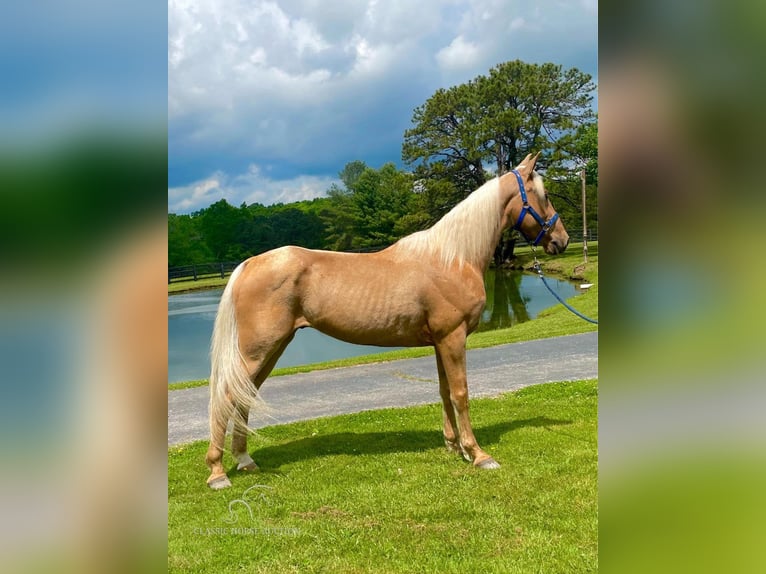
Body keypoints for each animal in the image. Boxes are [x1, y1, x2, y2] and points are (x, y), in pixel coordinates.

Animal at [206, 154, 568, 490]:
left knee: (243, 396)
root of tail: (249, 264)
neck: (452, 257)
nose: (562, 240)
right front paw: (477, 454)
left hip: (273, 348)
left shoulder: (440, 341)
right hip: (259, 349)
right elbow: (460, 393)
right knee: (226, 396)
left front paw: (453, 446)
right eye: (545, 194)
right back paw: (217, 473)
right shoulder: (453, 337)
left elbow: (443, 391)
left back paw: (245, 460)